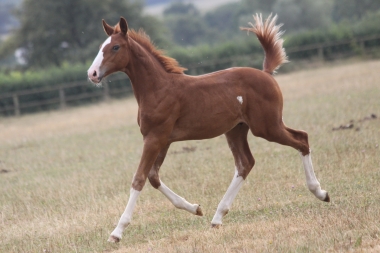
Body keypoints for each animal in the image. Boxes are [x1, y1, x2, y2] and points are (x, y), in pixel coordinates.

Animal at [87, 13, 330, 243]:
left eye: (115, 47)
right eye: (100, 47)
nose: (92, 74)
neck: (158, 88)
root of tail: (266, 73)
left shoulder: (155, 138)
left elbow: (139, 179)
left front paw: (117, 233)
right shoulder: (162, 140)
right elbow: (153, 177)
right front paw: (195, 208)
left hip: (267, 127)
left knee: (301, 139)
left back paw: (320, 192)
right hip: (237, 130)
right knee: (245, 163)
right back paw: (217, 218)